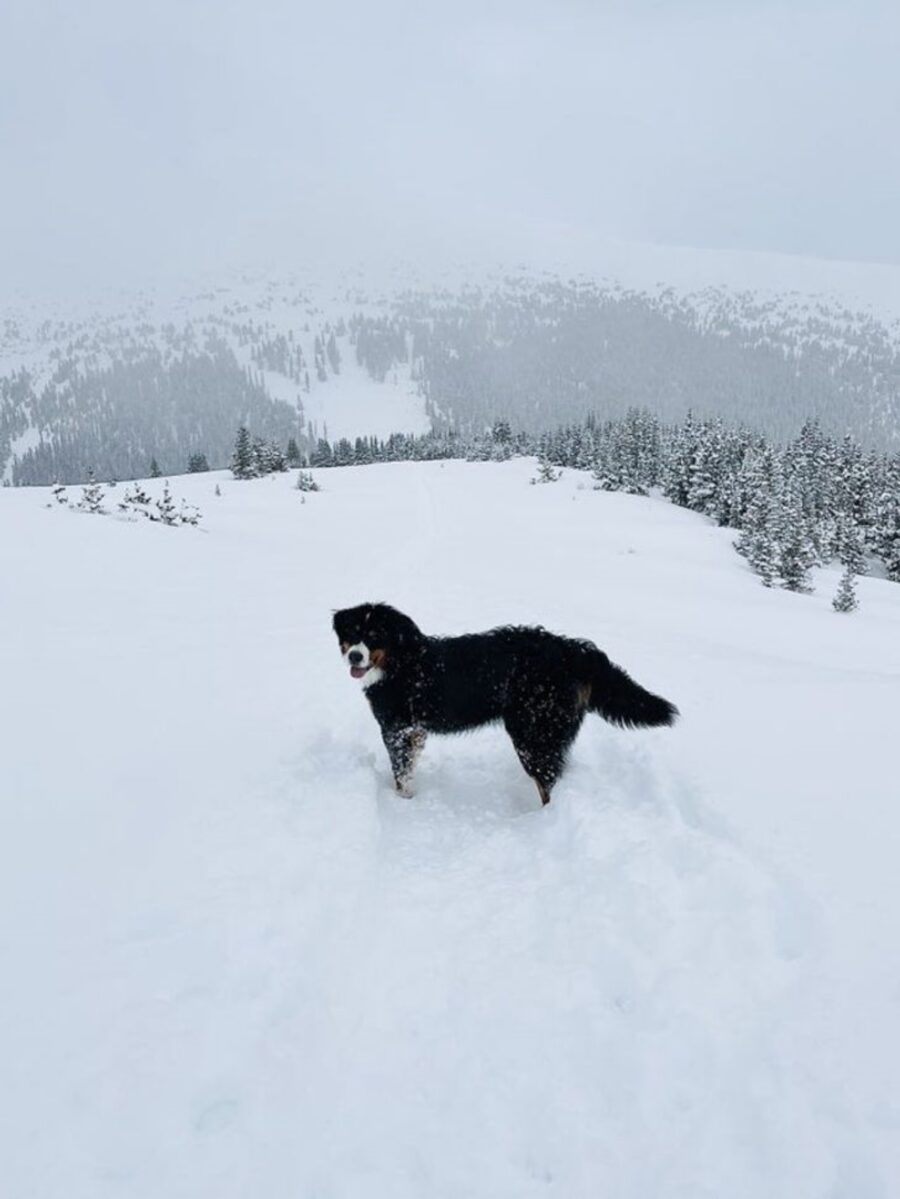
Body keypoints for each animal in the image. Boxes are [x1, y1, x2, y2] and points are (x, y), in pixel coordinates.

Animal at [333, 604, 675, 810]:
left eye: (375, 636)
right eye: (351, 634)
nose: (354, 656)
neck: (401, 663)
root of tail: (573, 650)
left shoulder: (396, 728)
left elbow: (401, 773)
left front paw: (403, 802)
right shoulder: (414, 730)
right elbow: (409, 768)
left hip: (532, 732)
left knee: (546, 781)